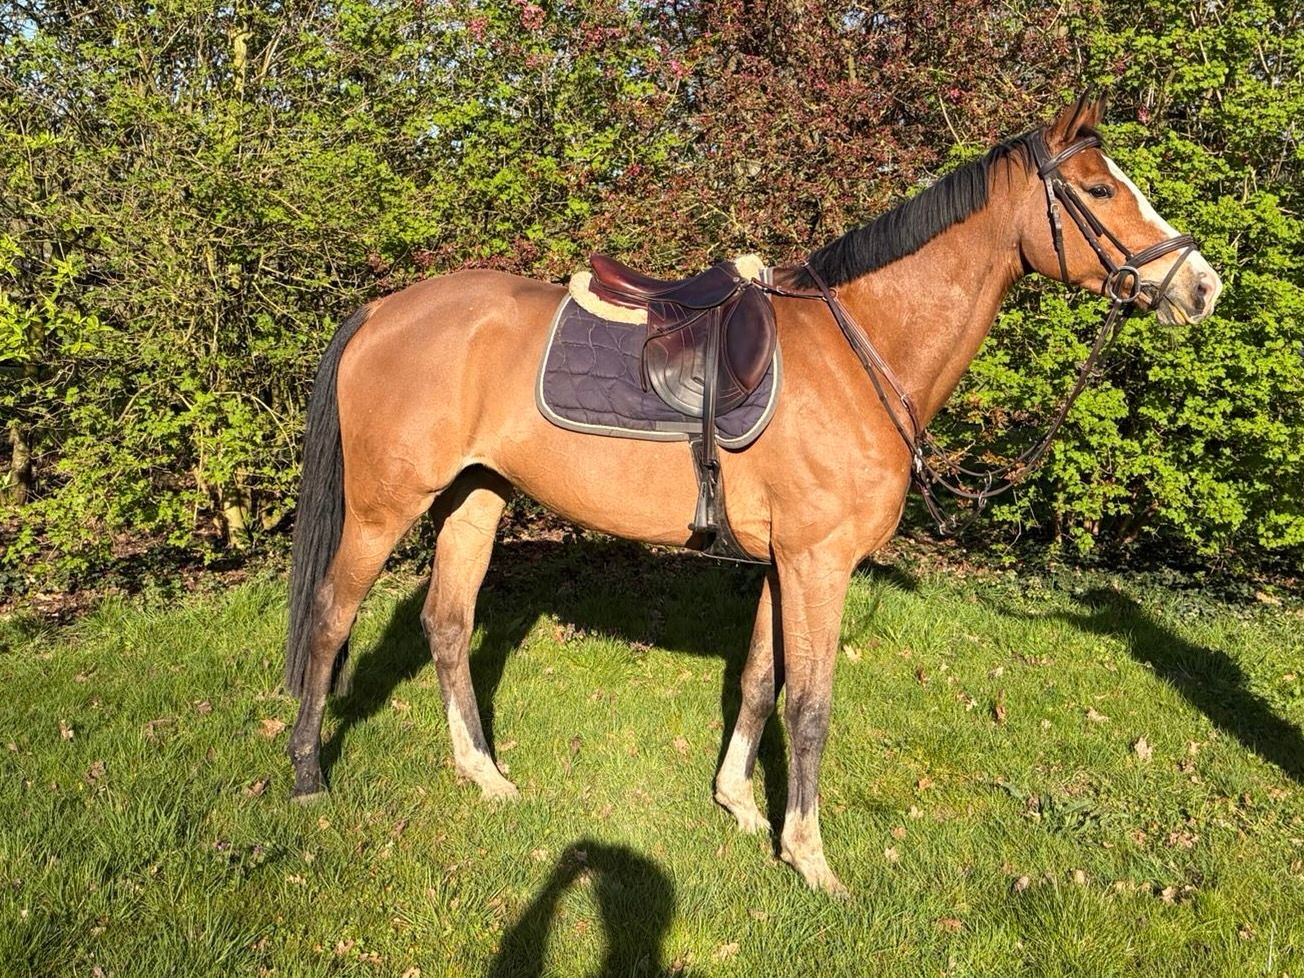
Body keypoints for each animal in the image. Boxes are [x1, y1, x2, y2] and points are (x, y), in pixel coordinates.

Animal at [284, 94, 1222, 894]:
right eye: (1100, 188)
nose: (1202, 285)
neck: (857, 353)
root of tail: (383, 312)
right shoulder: (818, 563)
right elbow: (809, 705)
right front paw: (809, 857)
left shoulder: (786, 561)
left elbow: (762, 681)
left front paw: (737, 803)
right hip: (383, 508)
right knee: (330, 617)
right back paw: (306, 775)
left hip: (475, 498)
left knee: (447, 625)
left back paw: (484, 775)